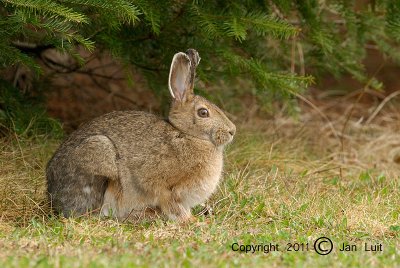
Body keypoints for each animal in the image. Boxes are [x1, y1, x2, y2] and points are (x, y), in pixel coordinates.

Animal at [45, 48, 236, 222]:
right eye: (203, 113)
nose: (232, 131)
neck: (186, 135)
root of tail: (53, 195)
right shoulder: (163, 186)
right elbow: (172, 205)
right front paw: (191, 221)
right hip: (100, 156)